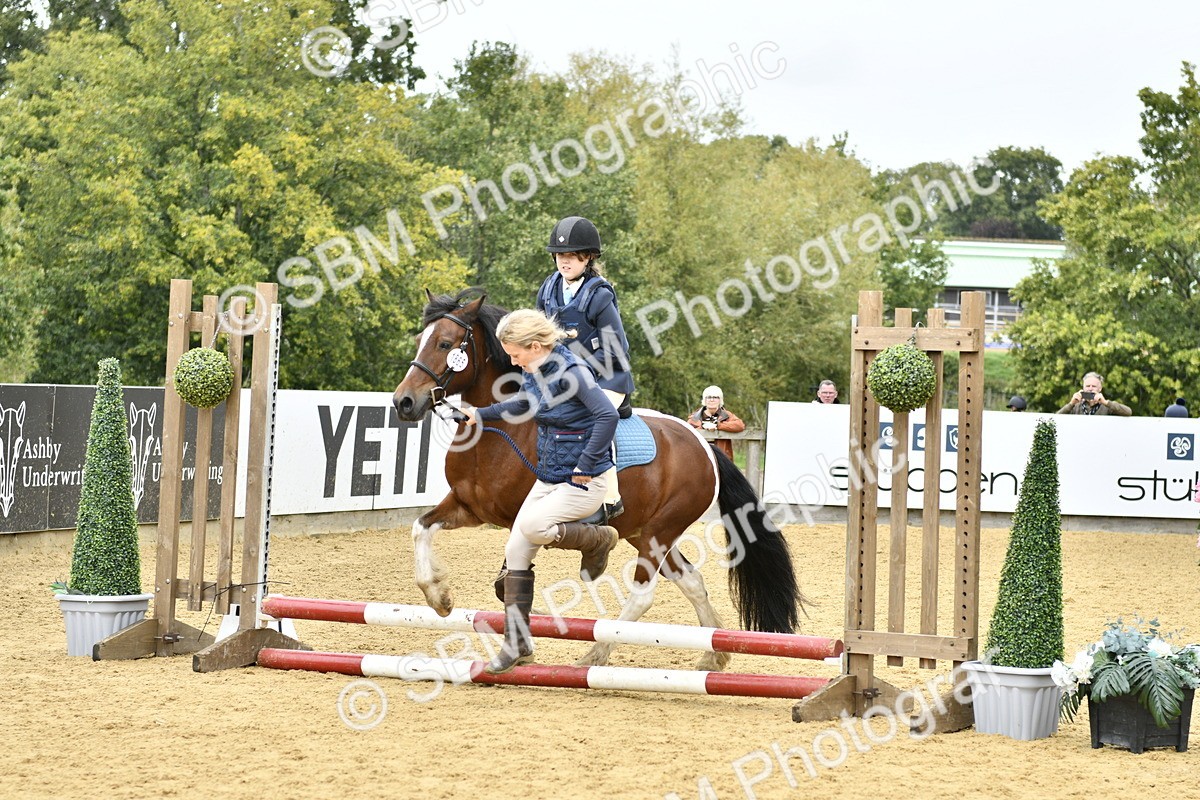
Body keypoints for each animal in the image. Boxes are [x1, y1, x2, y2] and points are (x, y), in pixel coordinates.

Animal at [392, 289, 803, 670]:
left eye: (445, 344)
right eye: (421, 339)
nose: (403, 402)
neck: (500, 432)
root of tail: (704, 444)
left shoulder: (523, 518)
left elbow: (509, 579)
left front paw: (521, 645)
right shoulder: (469, 507)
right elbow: (420, 528)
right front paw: (439, 598)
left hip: (659, 533)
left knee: (643, 595)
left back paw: (597, 652)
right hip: (646, 532)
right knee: (691, 581)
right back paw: (713, 656)